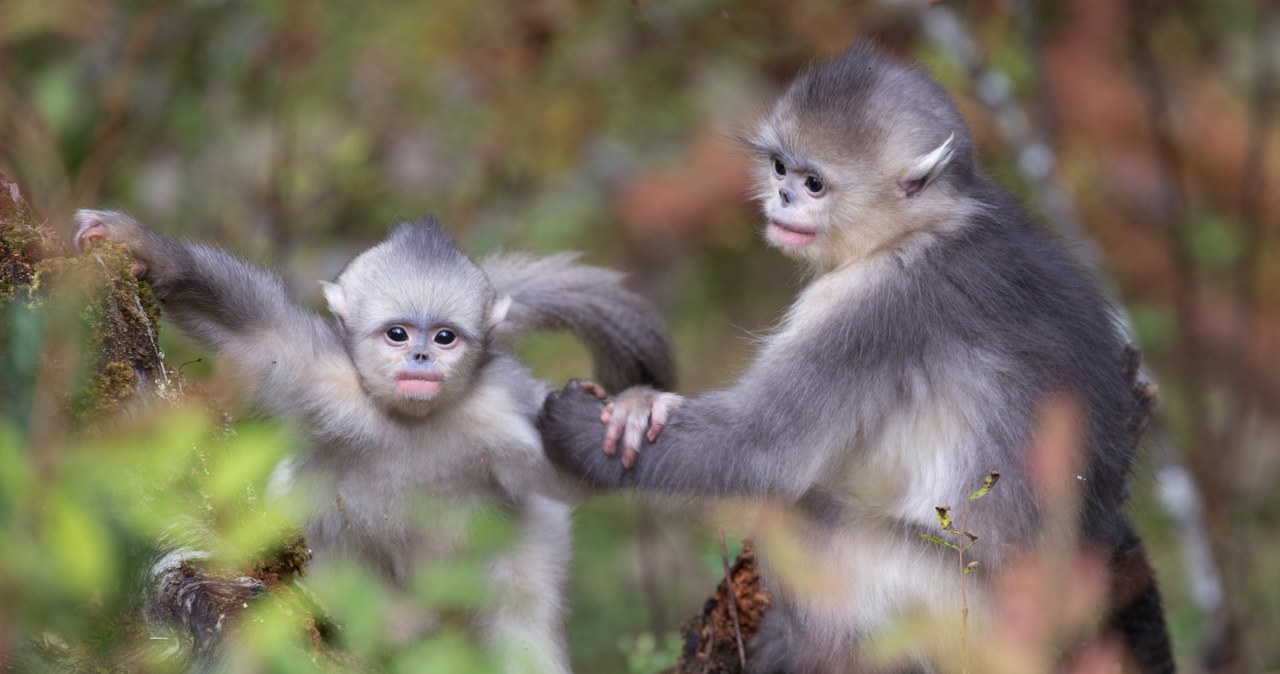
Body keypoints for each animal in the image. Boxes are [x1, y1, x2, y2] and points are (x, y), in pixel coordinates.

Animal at [74, 208, 675, 670]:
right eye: (398, 334)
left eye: (445, 337)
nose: (422, 357)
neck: (411, 419)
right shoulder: (320, 372)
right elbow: (251, 328)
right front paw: (142, 246)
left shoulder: (503, 409)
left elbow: (564, 476)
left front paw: (633, 408)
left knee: (522, 614)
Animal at [535, 44, 1172, 670]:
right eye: (780, 169)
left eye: (815, 184)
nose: (782, 197)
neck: (930, 226)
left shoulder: (871, 305)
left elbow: (757, 451)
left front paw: (601, 419)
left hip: (954, 612)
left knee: (805, 517)